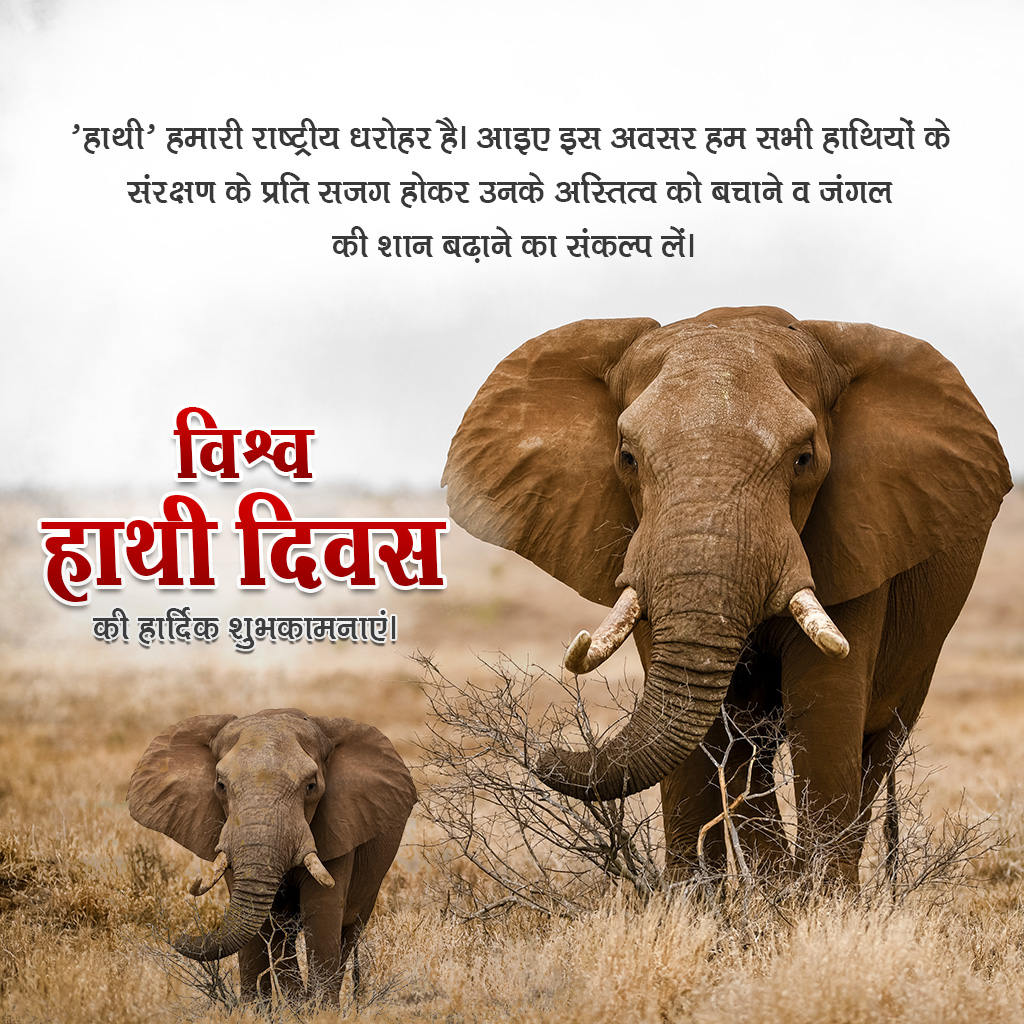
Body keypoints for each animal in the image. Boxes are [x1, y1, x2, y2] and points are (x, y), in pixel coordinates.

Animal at [128, 708, 416, 1004]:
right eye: (220, 785)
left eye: (311, 786)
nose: (176, 936)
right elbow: (261, 923)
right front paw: (256, 1009)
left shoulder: (339, 826)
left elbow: (322, 912)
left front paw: (320, 1010)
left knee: (348, 932)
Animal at [442, 305, 1012, 885]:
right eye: (627, 457)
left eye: (804, 459)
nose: (540, 752)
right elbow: (712, 727)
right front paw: (704, 902)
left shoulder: (859, 538)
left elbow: (825, 704)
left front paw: (816, 905)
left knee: (878, 744)